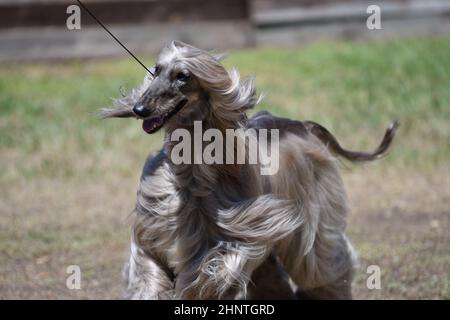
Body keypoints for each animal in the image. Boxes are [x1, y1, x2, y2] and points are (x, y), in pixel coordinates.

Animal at [99, 40, 398, 300]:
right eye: (156, 70)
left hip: (313, 218)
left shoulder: (247, 229)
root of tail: (301, 124)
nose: (140, 108)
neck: (191, 173)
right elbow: (148, 269)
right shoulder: (153, 231)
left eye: (182, 76)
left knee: (320, 266)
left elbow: (214, 267)